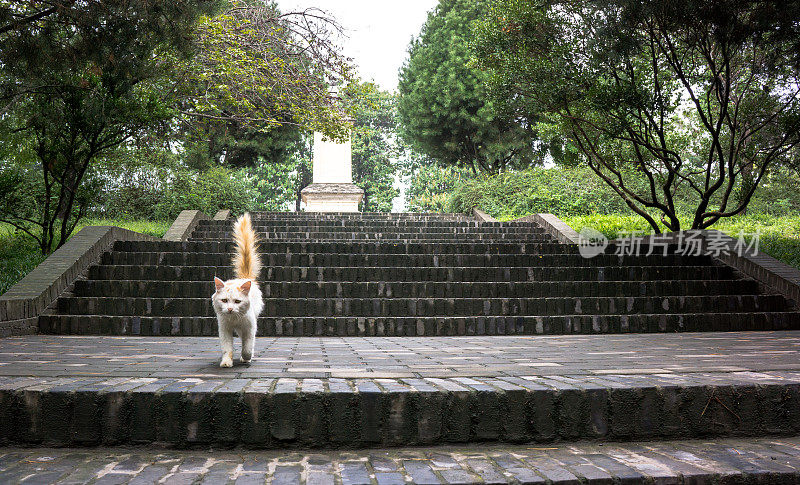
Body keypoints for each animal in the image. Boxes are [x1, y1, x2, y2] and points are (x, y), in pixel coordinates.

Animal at [211, 212, 264, 366]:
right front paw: (226, 362)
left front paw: (246, 357)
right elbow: (227, 348)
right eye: (224, 300)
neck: (234, 319)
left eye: (237, 301)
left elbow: (247, 346)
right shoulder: (224, 329)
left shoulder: (250, 327)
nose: (229, 309)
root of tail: (245, 278)